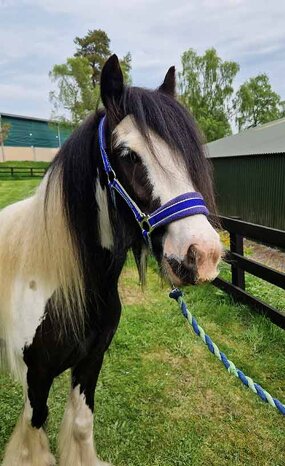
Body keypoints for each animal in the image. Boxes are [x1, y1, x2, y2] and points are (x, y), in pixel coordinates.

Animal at [0, 55, 222, 466]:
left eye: (186, 154)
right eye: (128, 155)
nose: (203, 255)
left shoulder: (91, 362)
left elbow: (81, 426)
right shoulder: (35, 379)